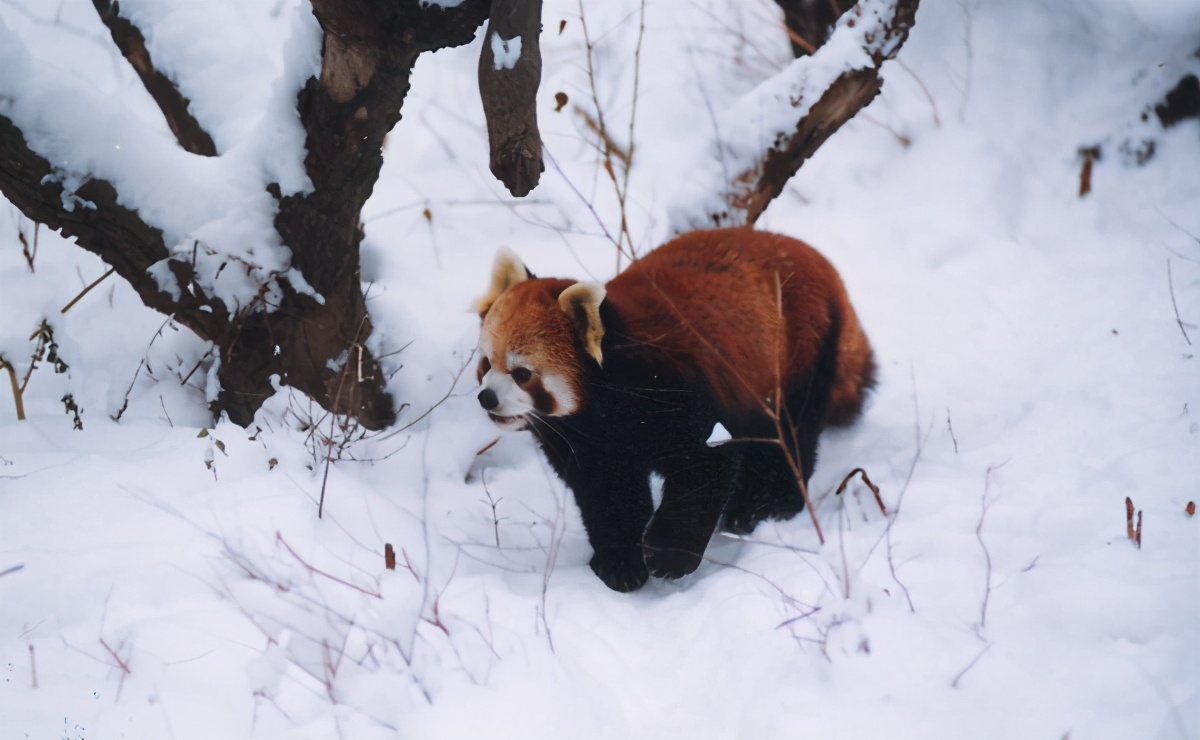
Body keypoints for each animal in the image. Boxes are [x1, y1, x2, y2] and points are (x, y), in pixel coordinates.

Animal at [474, 227, 875, 592]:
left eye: (522, 374)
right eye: (485, 364)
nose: (486, 398)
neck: (604, 405)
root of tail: (820, 262)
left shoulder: (677, 392)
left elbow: (704, 467)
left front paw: (668, 555)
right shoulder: (587, 444)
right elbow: (608, 494)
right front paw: (618, 563)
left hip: (798, 350)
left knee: (788, 436)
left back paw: (765, 505)